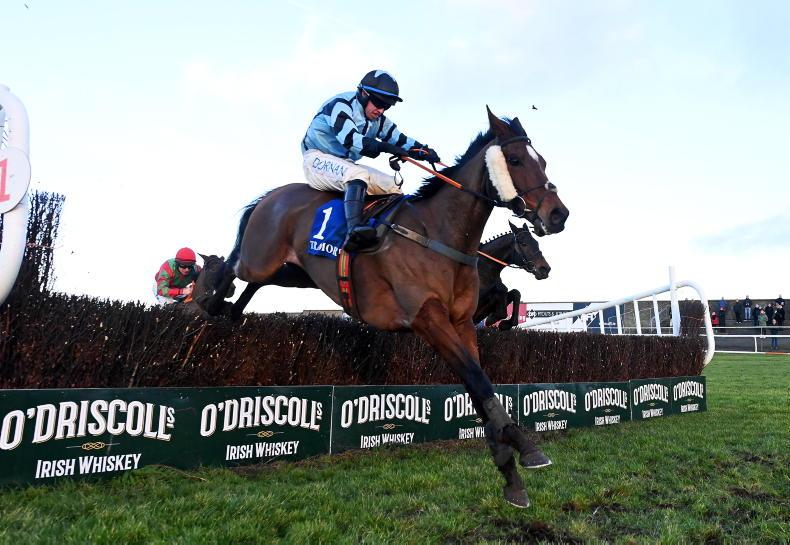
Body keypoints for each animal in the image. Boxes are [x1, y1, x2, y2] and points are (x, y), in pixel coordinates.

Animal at [207, 107, 569, 508]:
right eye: (516, 159)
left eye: (543, 161)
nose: (558, 214)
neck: (439, 233)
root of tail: (272, 195)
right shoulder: (428, 318)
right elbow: (478, 380)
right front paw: (525, 449)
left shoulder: (461, 322)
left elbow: (478, 384)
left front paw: (509, 469)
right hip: (261, 257)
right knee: (233, 266)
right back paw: (205, 299)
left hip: (299, 273)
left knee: (256, 281)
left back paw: (230, 313)